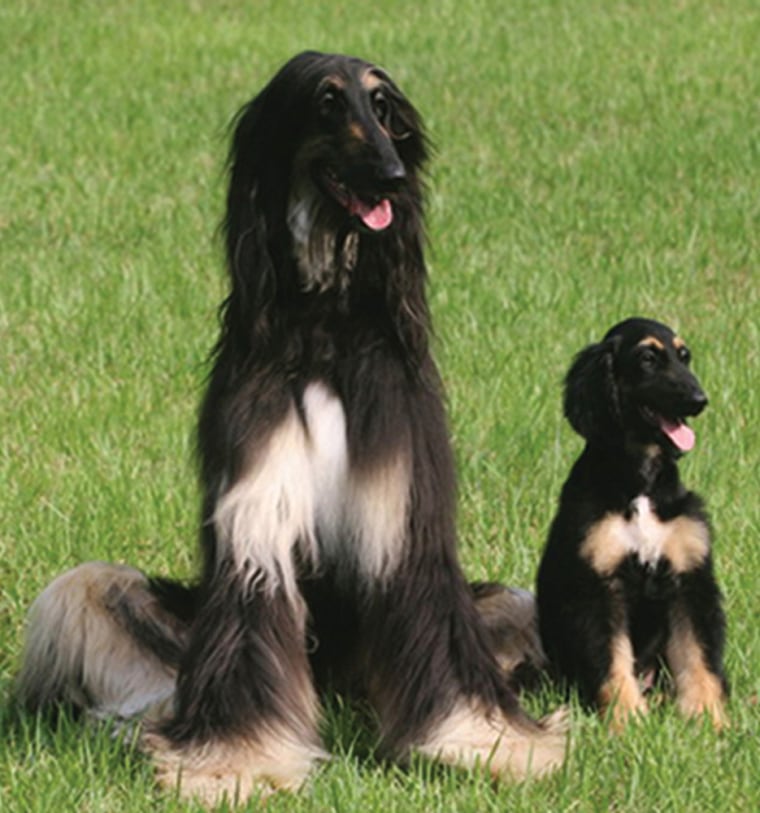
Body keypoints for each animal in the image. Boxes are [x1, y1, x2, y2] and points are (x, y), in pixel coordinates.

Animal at [16, 52, 564, 804]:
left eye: (384, 106)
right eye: (327, 103)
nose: (393, 174)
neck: (326, 325)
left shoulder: (404, 512)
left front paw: (486, 742)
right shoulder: (257, 514)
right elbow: (248, 633)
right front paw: (235, 763)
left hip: (510, 602)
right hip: (101, 598)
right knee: (98, 601)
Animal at [536, 318, 728, 728]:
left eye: (684, 355)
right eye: (647, 358)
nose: (699, 400)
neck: (641, 486)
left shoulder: (689, 578)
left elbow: (699, 656)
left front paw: (708, 718)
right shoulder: (599, 585)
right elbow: (611, 658)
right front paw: (626, 720)